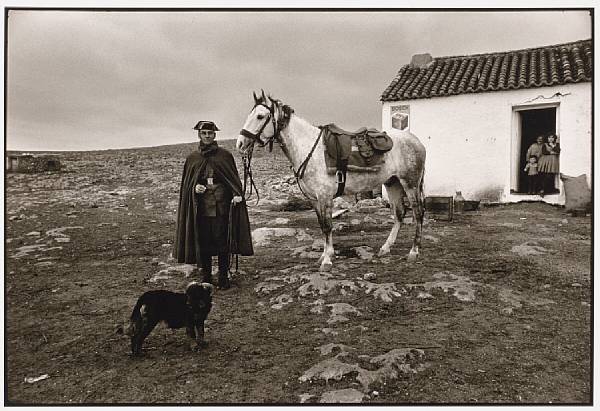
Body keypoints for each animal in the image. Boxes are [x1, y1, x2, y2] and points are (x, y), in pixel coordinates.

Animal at [236, 92, 426, 274]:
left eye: (260, 116)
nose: (240, 143)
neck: (309, 150)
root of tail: (417, 141)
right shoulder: (314, 199)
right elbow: (322, 225)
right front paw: (324, 256)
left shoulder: (325, 196)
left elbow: (328, 226)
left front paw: (327, 261)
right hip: (392, 183)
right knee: (399, 214)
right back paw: (386, 248)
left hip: (410, 184)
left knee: (418, 213)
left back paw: (414, 251)